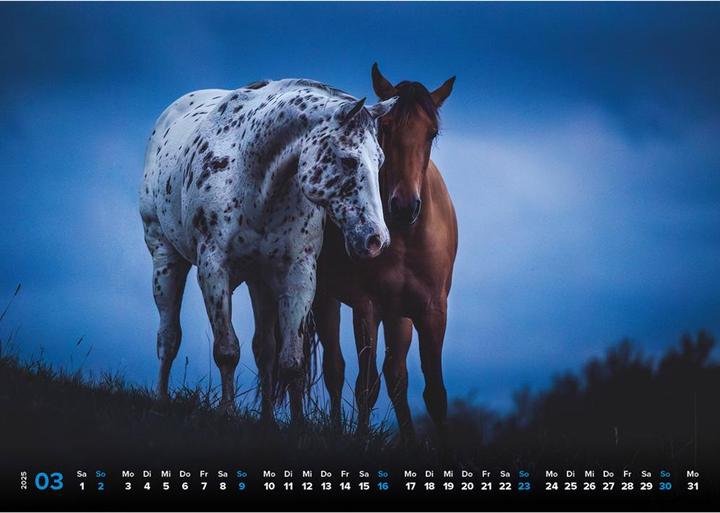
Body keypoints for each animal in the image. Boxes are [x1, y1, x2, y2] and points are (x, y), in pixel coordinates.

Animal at [140, 78, 397, 424]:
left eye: (379, 161)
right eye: (348, 160)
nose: (376, 239)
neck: (253, 176)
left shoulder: (298, 276)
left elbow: (289, 360)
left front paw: (296, 425)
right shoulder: (213, 269)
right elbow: (227, 350)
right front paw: (228, 413)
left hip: (259, 281)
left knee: (265, 350)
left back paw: (266, 419)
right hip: (166, 258)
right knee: (168, 337)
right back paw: (160, 401)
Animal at [314, 64, 458, 442]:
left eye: (432, 133)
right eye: (385, 128)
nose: (404, 207)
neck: (406, 238)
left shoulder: (432, 311)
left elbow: (435, 394)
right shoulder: (367, 307)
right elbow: (366, 386)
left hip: (399, 316)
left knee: (395, 376)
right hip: (323, 298)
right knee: (334, 370)